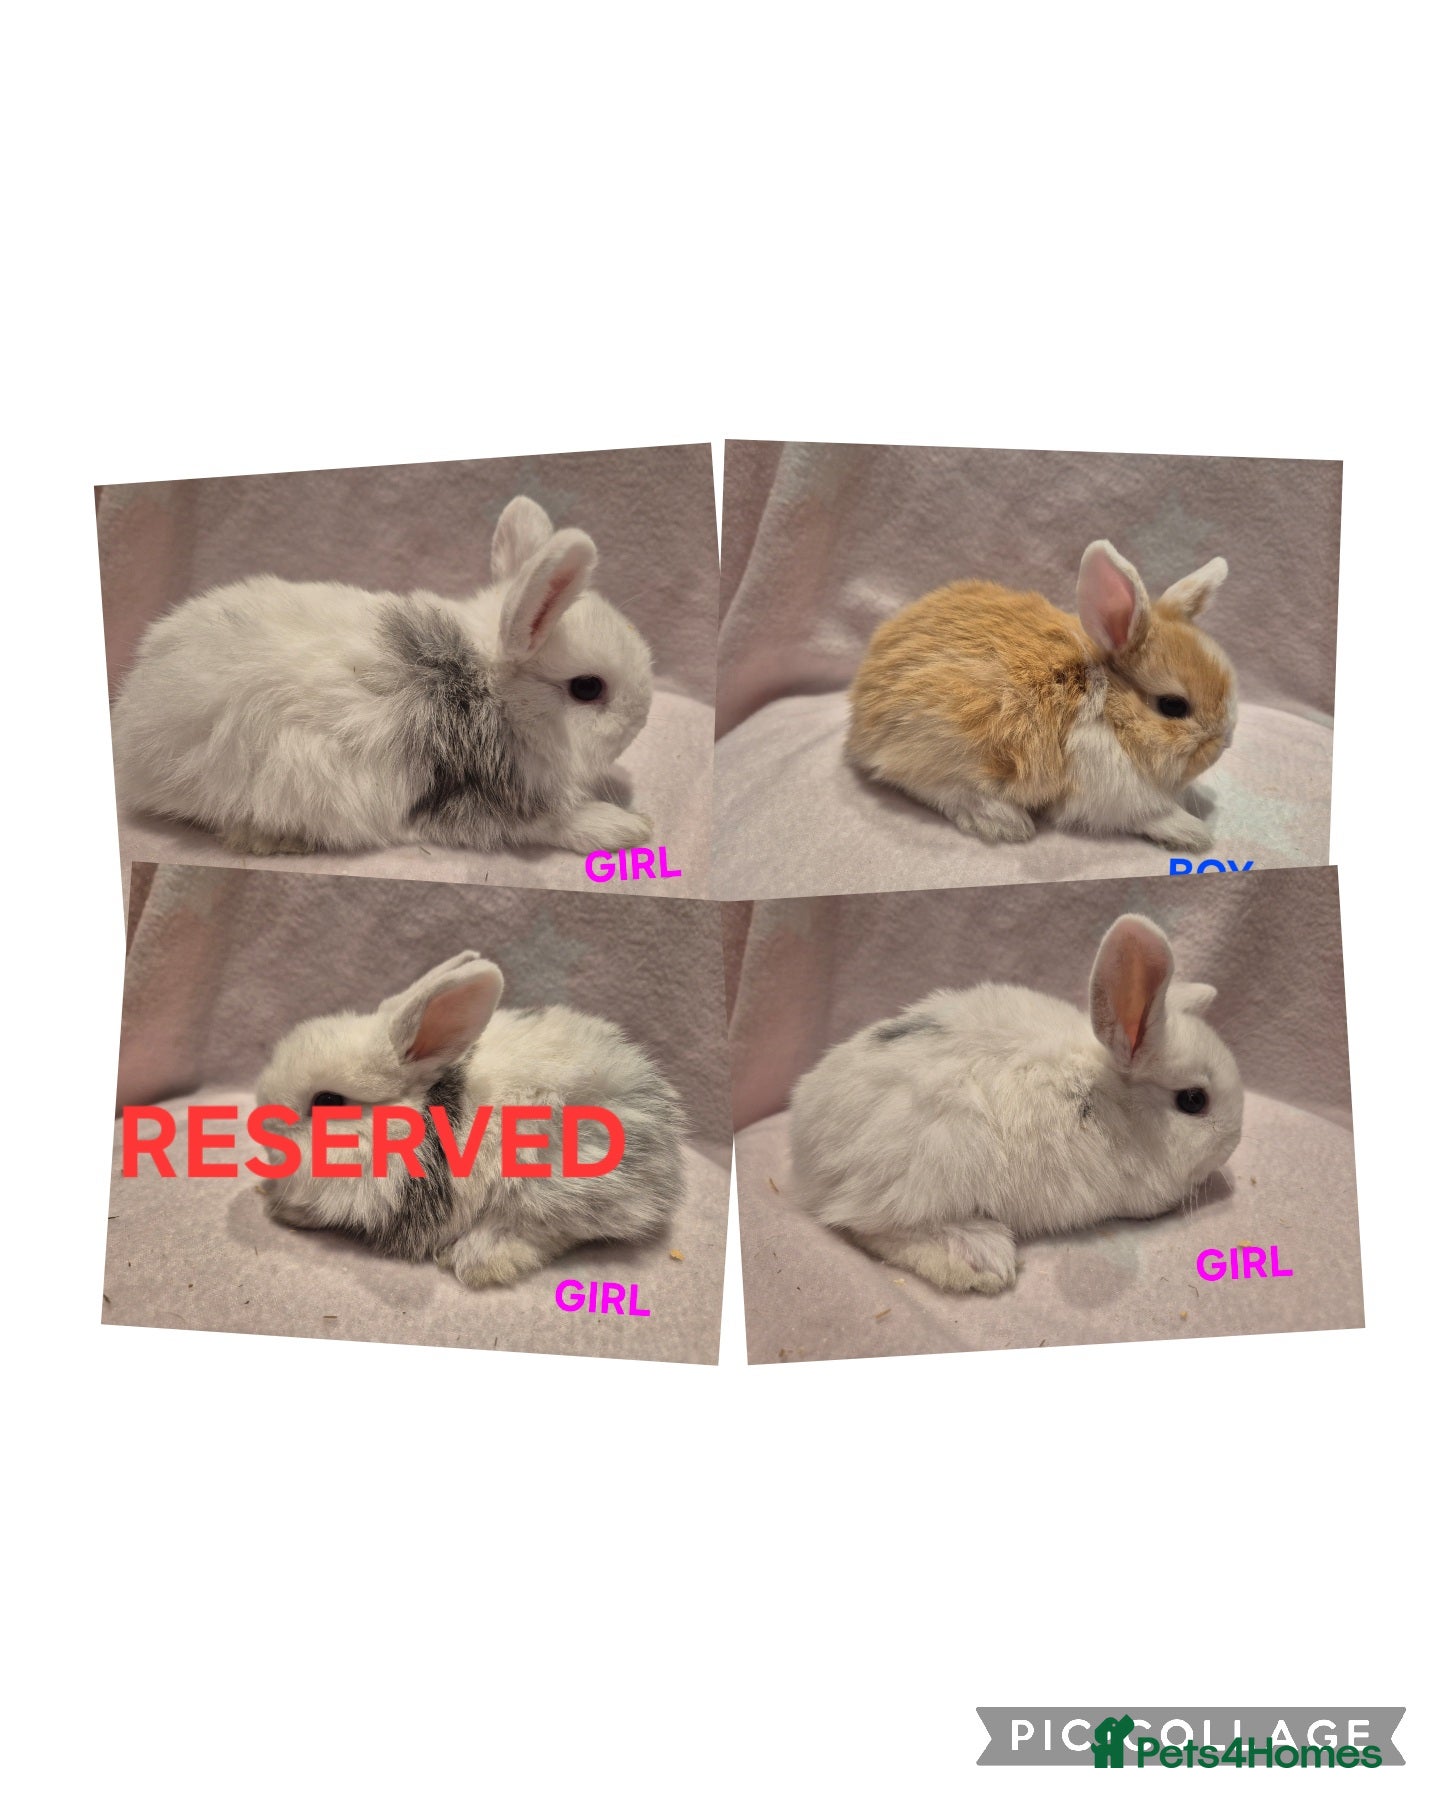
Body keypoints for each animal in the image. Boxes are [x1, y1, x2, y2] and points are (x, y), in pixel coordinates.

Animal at [111, 495, 656, 857]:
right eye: (588, 688)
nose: (643, 716)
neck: (490, 692)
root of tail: (136, 713)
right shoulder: (476, 802)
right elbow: (553, 823)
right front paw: (628, 828)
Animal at [788, 913, 1242, 1294]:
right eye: (1193, 1100)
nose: (1234, 1141)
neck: (1107, 1095)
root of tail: (805, 1155)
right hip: (935, 1158)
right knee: (867, 1224)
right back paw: (981, 1256)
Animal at [846, 540, 1237, 852]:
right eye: (1173, 706)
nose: (1225, 744)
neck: (1108, 707)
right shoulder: (1109, 795)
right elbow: (1148, 815)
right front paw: (1193, 833)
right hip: (943, 736)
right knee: (923, 782)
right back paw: (1004, 821)